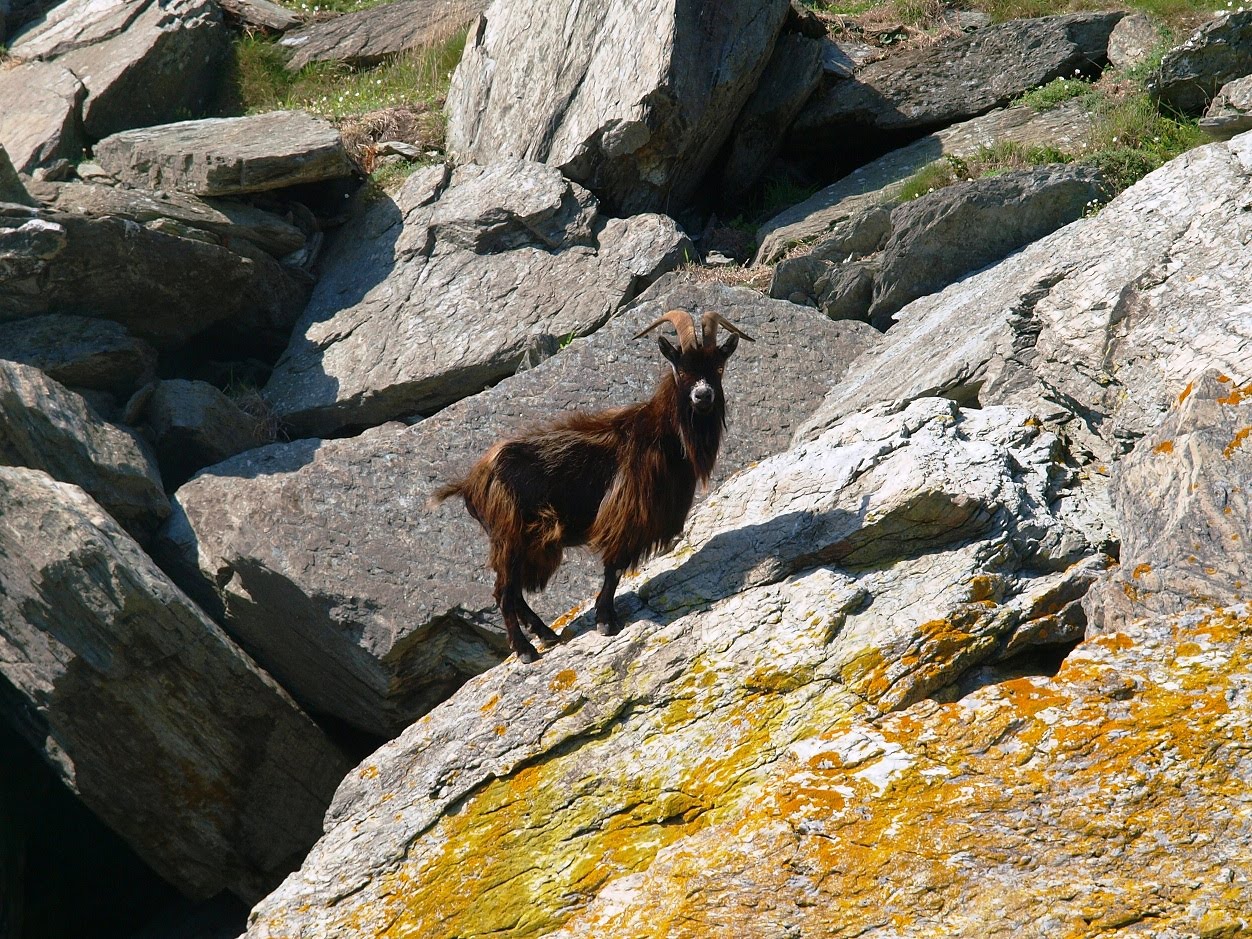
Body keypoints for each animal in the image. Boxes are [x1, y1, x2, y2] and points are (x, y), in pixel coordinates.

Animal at [431, 309, 753, 662]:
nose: (703, 396)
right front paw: (606, 621)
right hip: (510, 533)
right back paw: (526, 649)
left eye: (718, 367)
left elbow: (615, 569)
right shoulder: (625, 513)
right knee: (503, 592)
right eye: (681, 369)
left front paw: (604, 617)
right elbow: (614, 568)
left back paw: (546, 634)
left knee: (514, 592)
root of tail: (470, 482)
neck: (660, 434)